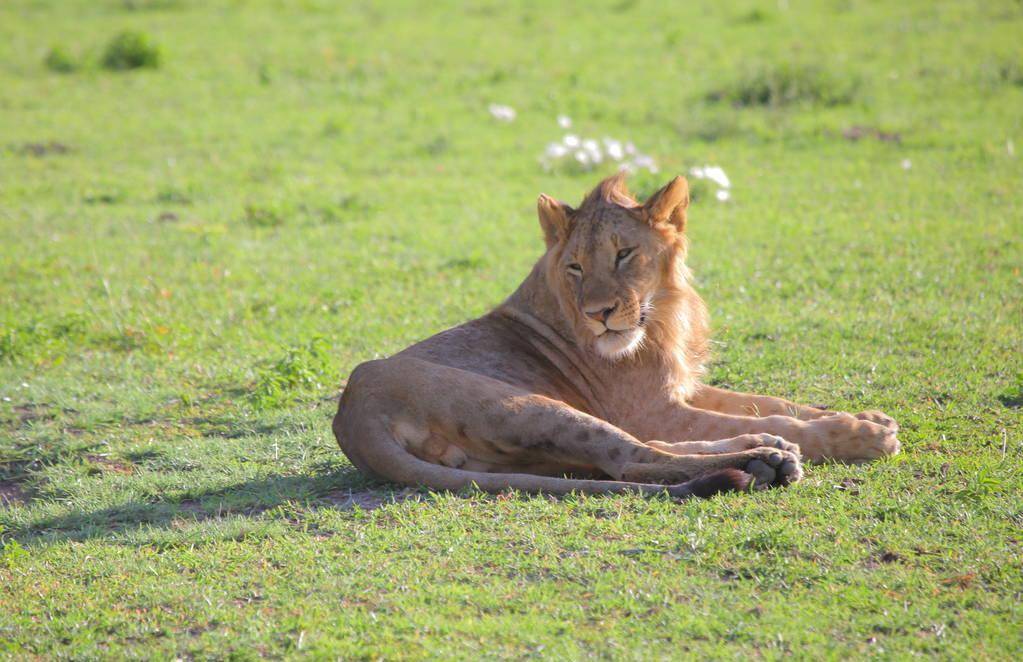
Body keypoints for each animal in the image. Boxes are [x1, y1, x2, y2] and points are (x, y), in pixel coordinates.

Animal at [331, 173, 900, 499]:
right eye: (577, 267)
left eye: (624, 254)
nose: (599, 314)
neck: (664, 315)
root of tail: (352, 416)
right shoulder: (654, 408)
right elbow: (777, 414)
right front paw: (864, 436)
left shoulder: (680, 389)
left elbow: (772, 402)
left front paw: (865, 417)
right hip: (525, 404)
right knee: (631, 457)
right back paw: (767, 462)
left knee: (641, 453)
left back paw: (764, 448)